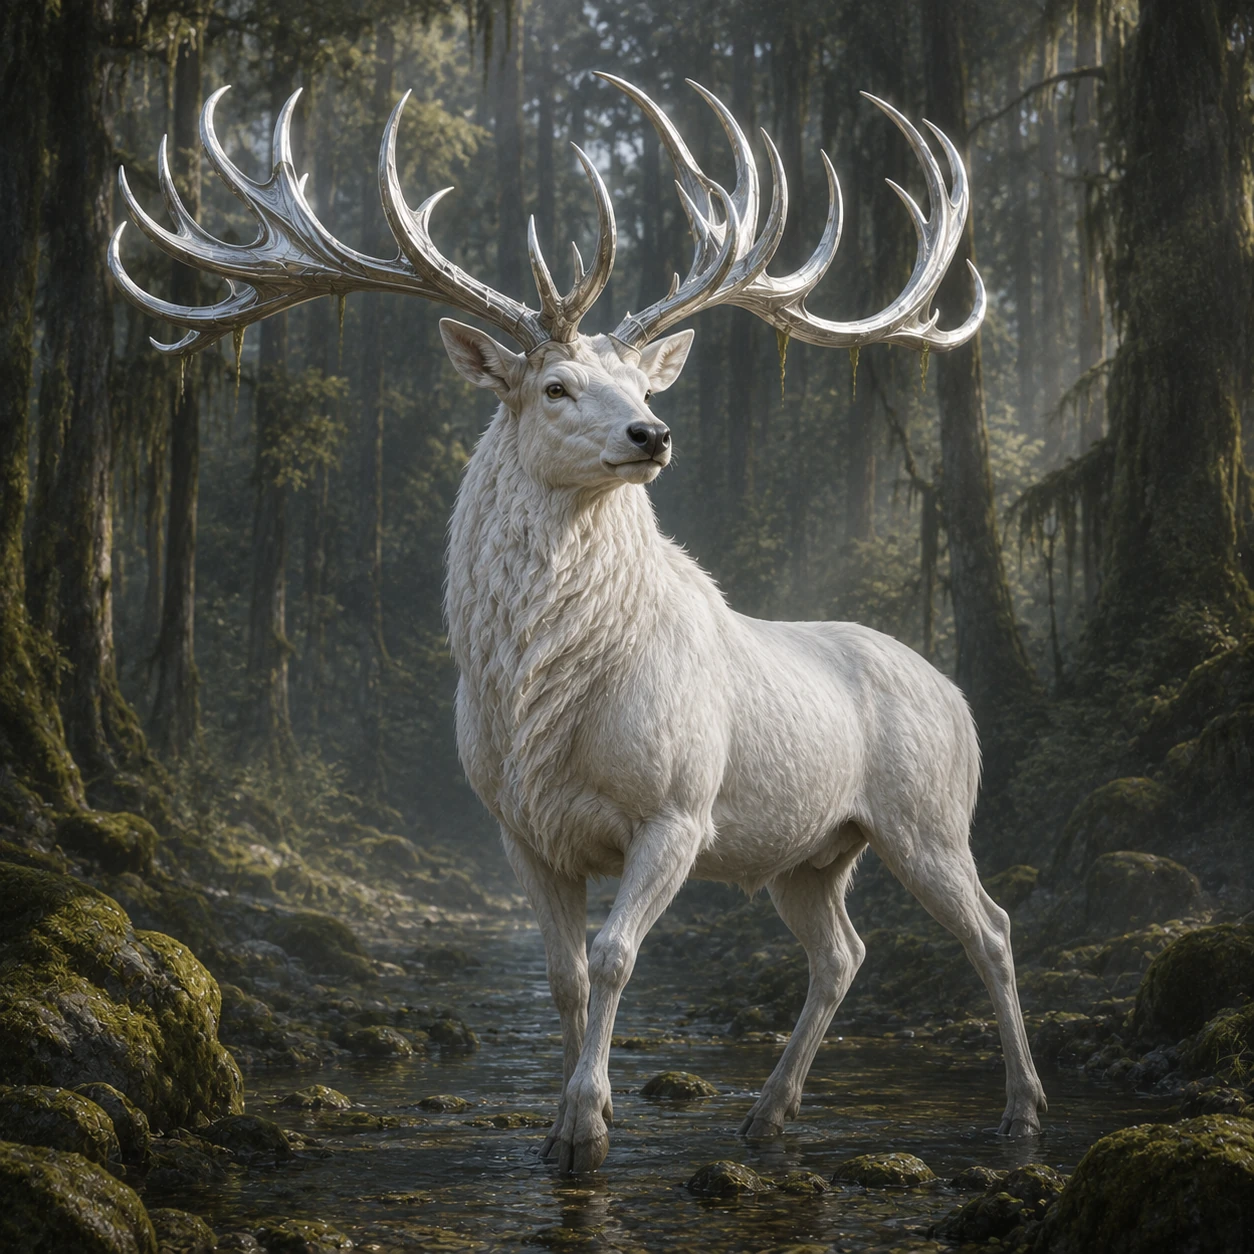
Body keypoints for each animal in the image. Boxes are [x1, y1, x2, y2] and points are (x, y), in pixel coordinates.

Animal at [111, 71, 1047, 1175]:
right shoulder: (518, 825)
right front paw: (558, 1122)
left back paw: (1023, 1109)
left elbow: (613, 957)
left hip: (928, 811)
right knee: (843, 952)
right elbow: (559, 974)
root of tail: (954, 691)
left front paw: (588, 1126)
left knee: (993, 927)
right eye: (555, 386)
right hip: (810, 851)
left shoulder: (679, 807)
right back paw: (768, 1112)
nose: (654, 432)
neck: (542, 699)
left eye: (642, 383)